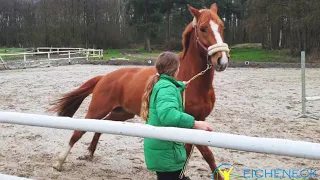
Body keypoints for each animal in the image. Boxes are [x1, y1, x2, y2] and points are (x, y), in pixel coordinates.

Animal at [50, 3, 229, 180]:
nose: (222, 60)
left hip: (122, 113)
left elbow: (202, 155)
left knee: (103, 126)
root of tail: (104, 77)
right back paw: (59, 162)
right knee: (78, 131)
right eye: (203, 28)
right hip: (97, 110)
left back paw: (89, 153)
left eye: (222, 26)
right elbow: (205, 153)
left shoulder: (198, 120)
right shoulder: (186, 122)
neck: (190, 80)